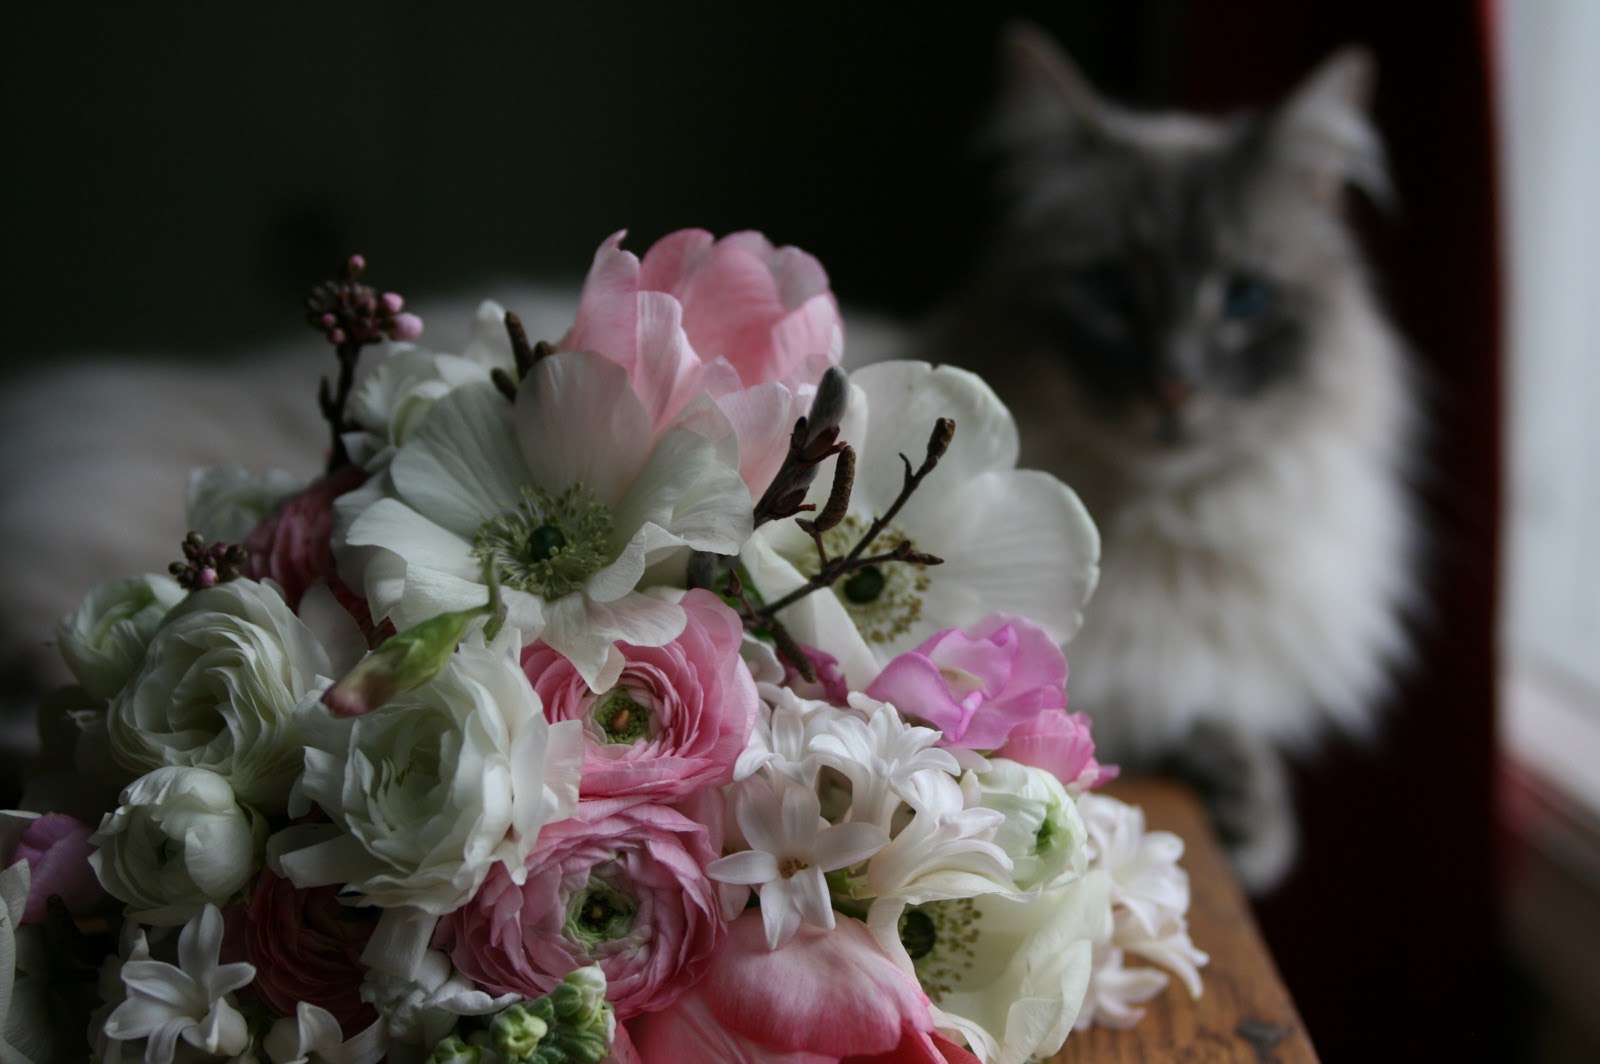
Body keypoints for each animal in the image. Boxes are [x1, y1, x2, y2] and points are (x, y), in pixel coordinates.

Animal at [928, 24, 1427, 889]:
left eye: (1246, 299)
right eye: (1108, 291)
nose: (1173, 386)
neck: (1160, 525)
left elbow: (1218, 722)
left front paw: (1253, 829)